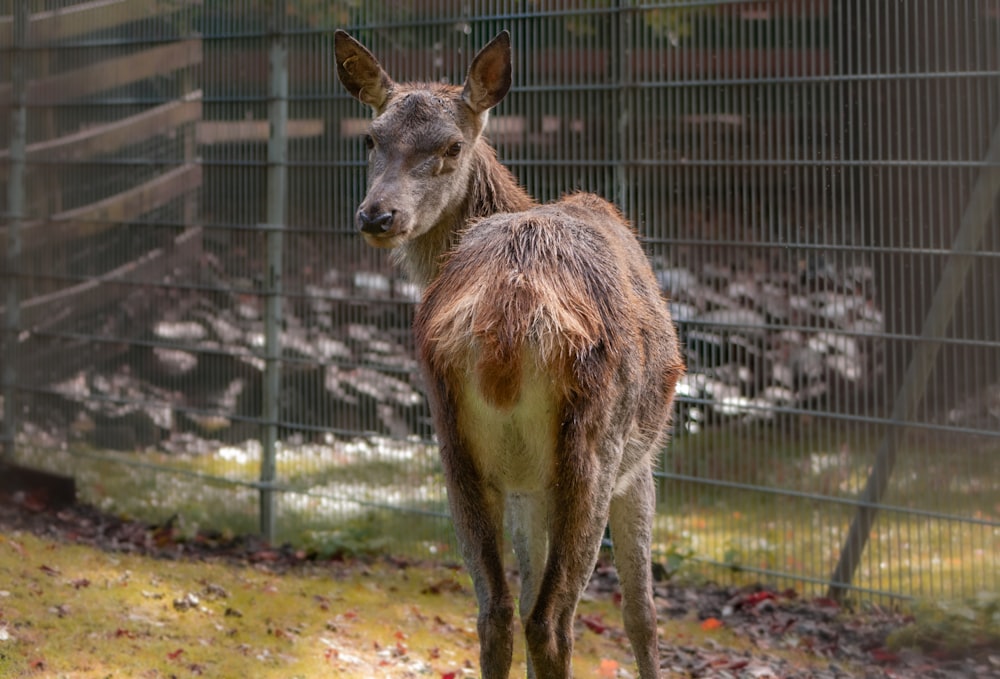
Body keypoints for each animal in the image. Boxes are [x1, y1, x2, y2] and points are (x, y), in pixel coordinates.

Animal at [338, 29, 688, 676]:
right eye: (371, 138)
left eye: (452, 145)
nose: (377, 215)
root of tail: (508, 317)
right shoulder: (643, 463)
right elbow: (643, 616)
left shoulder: (525, 484)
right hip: (594, 448)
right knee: (550, 622)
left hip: (455, 446)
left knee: (497, 612)